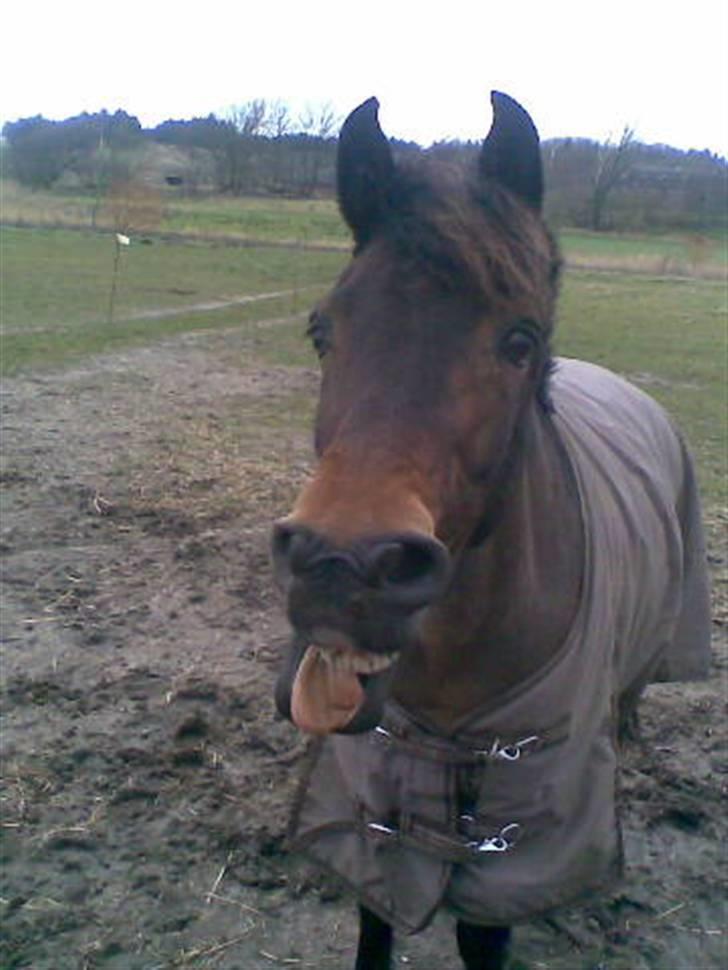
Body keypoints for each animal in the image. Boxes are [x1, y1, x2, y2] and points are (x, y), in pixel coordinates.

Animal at [270, 92, 708, 968]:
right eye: (321, 331)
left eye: (519, 341)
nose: (342, 568)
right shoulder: (374, 809)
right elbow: (375, 924)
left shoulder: (518, 841)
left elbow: (484, 935)